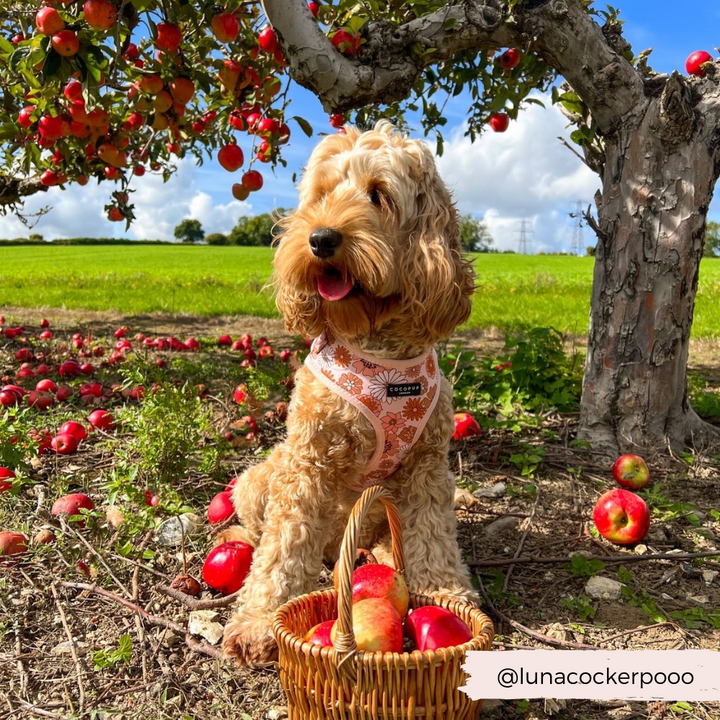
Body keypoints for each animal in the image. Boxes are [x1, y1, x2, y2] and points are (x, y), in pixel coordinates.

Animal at [219, 121, 478, 668]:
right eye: (320, 195)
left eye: (378, 194)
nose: (320, 238)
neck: (378, 349)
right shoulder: (306, 464)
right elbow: (282, 549)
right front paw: (258, 622)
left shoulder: (427, 466)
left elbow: (432, 534)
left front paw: (445, 593)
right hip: (256, 479)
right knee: (259, 531)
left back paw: (375, 554)